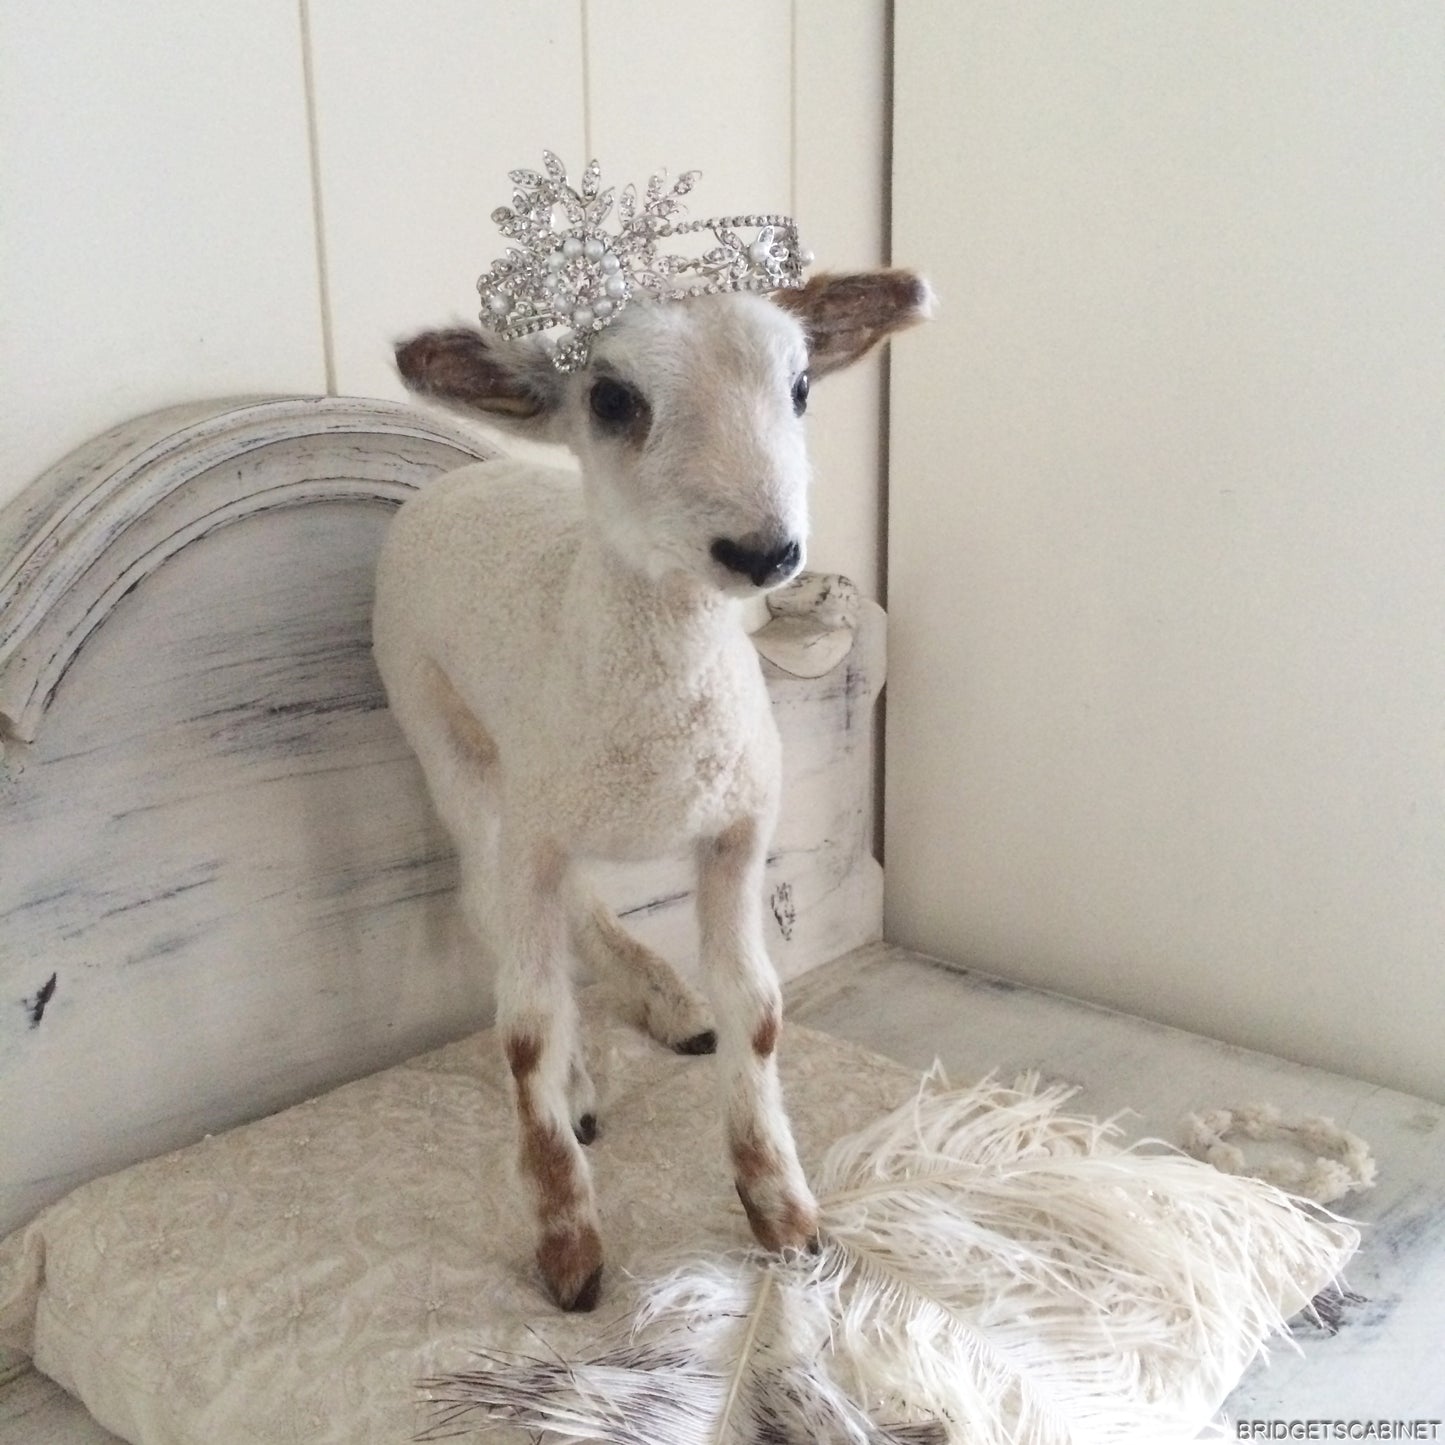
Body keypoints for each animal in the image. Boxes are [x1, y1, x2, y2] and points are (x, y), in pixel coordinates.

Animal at [374, 270, 931, 1311]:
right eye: (611, 399)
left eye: (801, 386)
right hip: (444, 730)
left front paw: (783, 1212)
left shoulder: (738, 831)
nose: (764, 552)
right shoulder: (535, 831)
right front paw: (566, 1242)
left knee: (577, 910)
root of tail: (464, 474)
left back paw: (670, 1006)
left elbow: (757, 1008)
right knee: (487, 902)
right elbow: (524, 1030)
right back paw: (580, 1086)